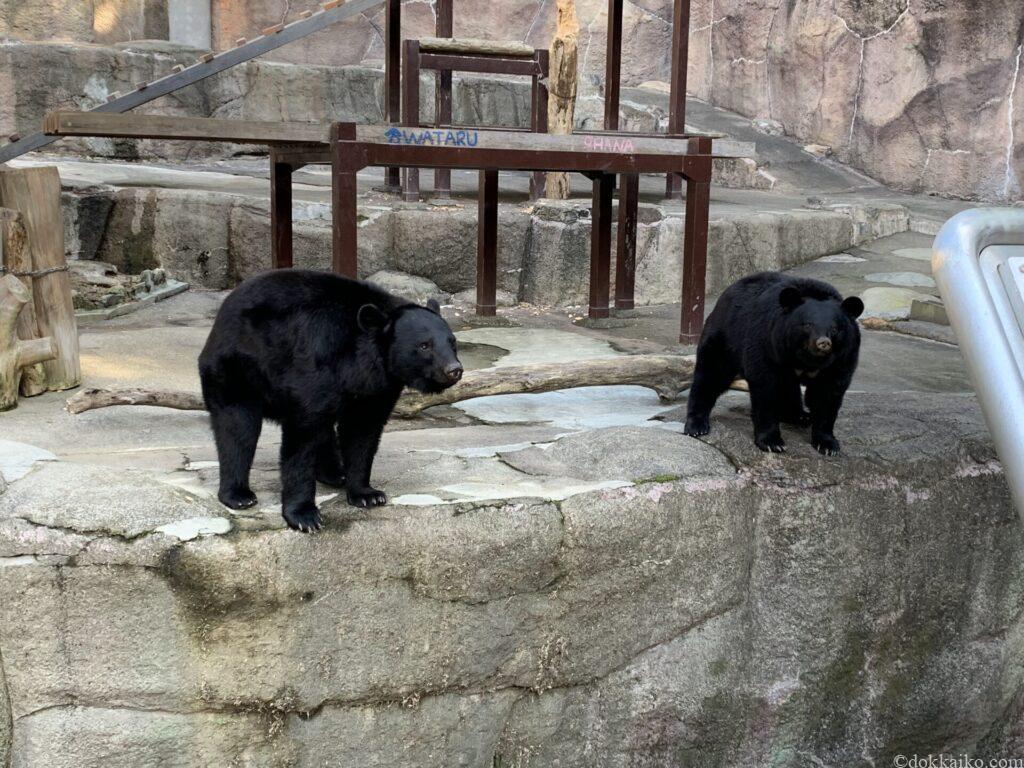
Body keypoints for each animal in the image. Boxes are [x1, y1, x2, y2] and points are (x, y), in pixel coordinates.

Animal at [197, 272, 462, 536]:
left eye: (452, 342)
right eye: (424, 345)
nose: (454, 370)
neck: (366, 359)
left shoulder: (376, 389)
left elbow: (363, 433)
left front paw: (367, 494)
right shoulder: (317, 364)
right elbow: (302, 438)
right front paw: (304, 515)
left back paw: (335, 473)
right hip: (238, 368)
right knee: (238, 428)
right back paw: (239, 495)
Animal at [688, 274, 864, 456]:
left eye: (835, 328)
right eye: (808, 324)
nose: (823, 343)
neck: (806, 360)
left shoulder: (842, 359)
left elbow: (828, 395)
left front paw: (828, 445)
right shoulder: (768, 344)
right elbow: (767, 390)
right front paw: (772, 442)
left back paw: (801, 416)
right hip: (724, 339)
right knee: (710, 376)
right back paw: (696, 425)